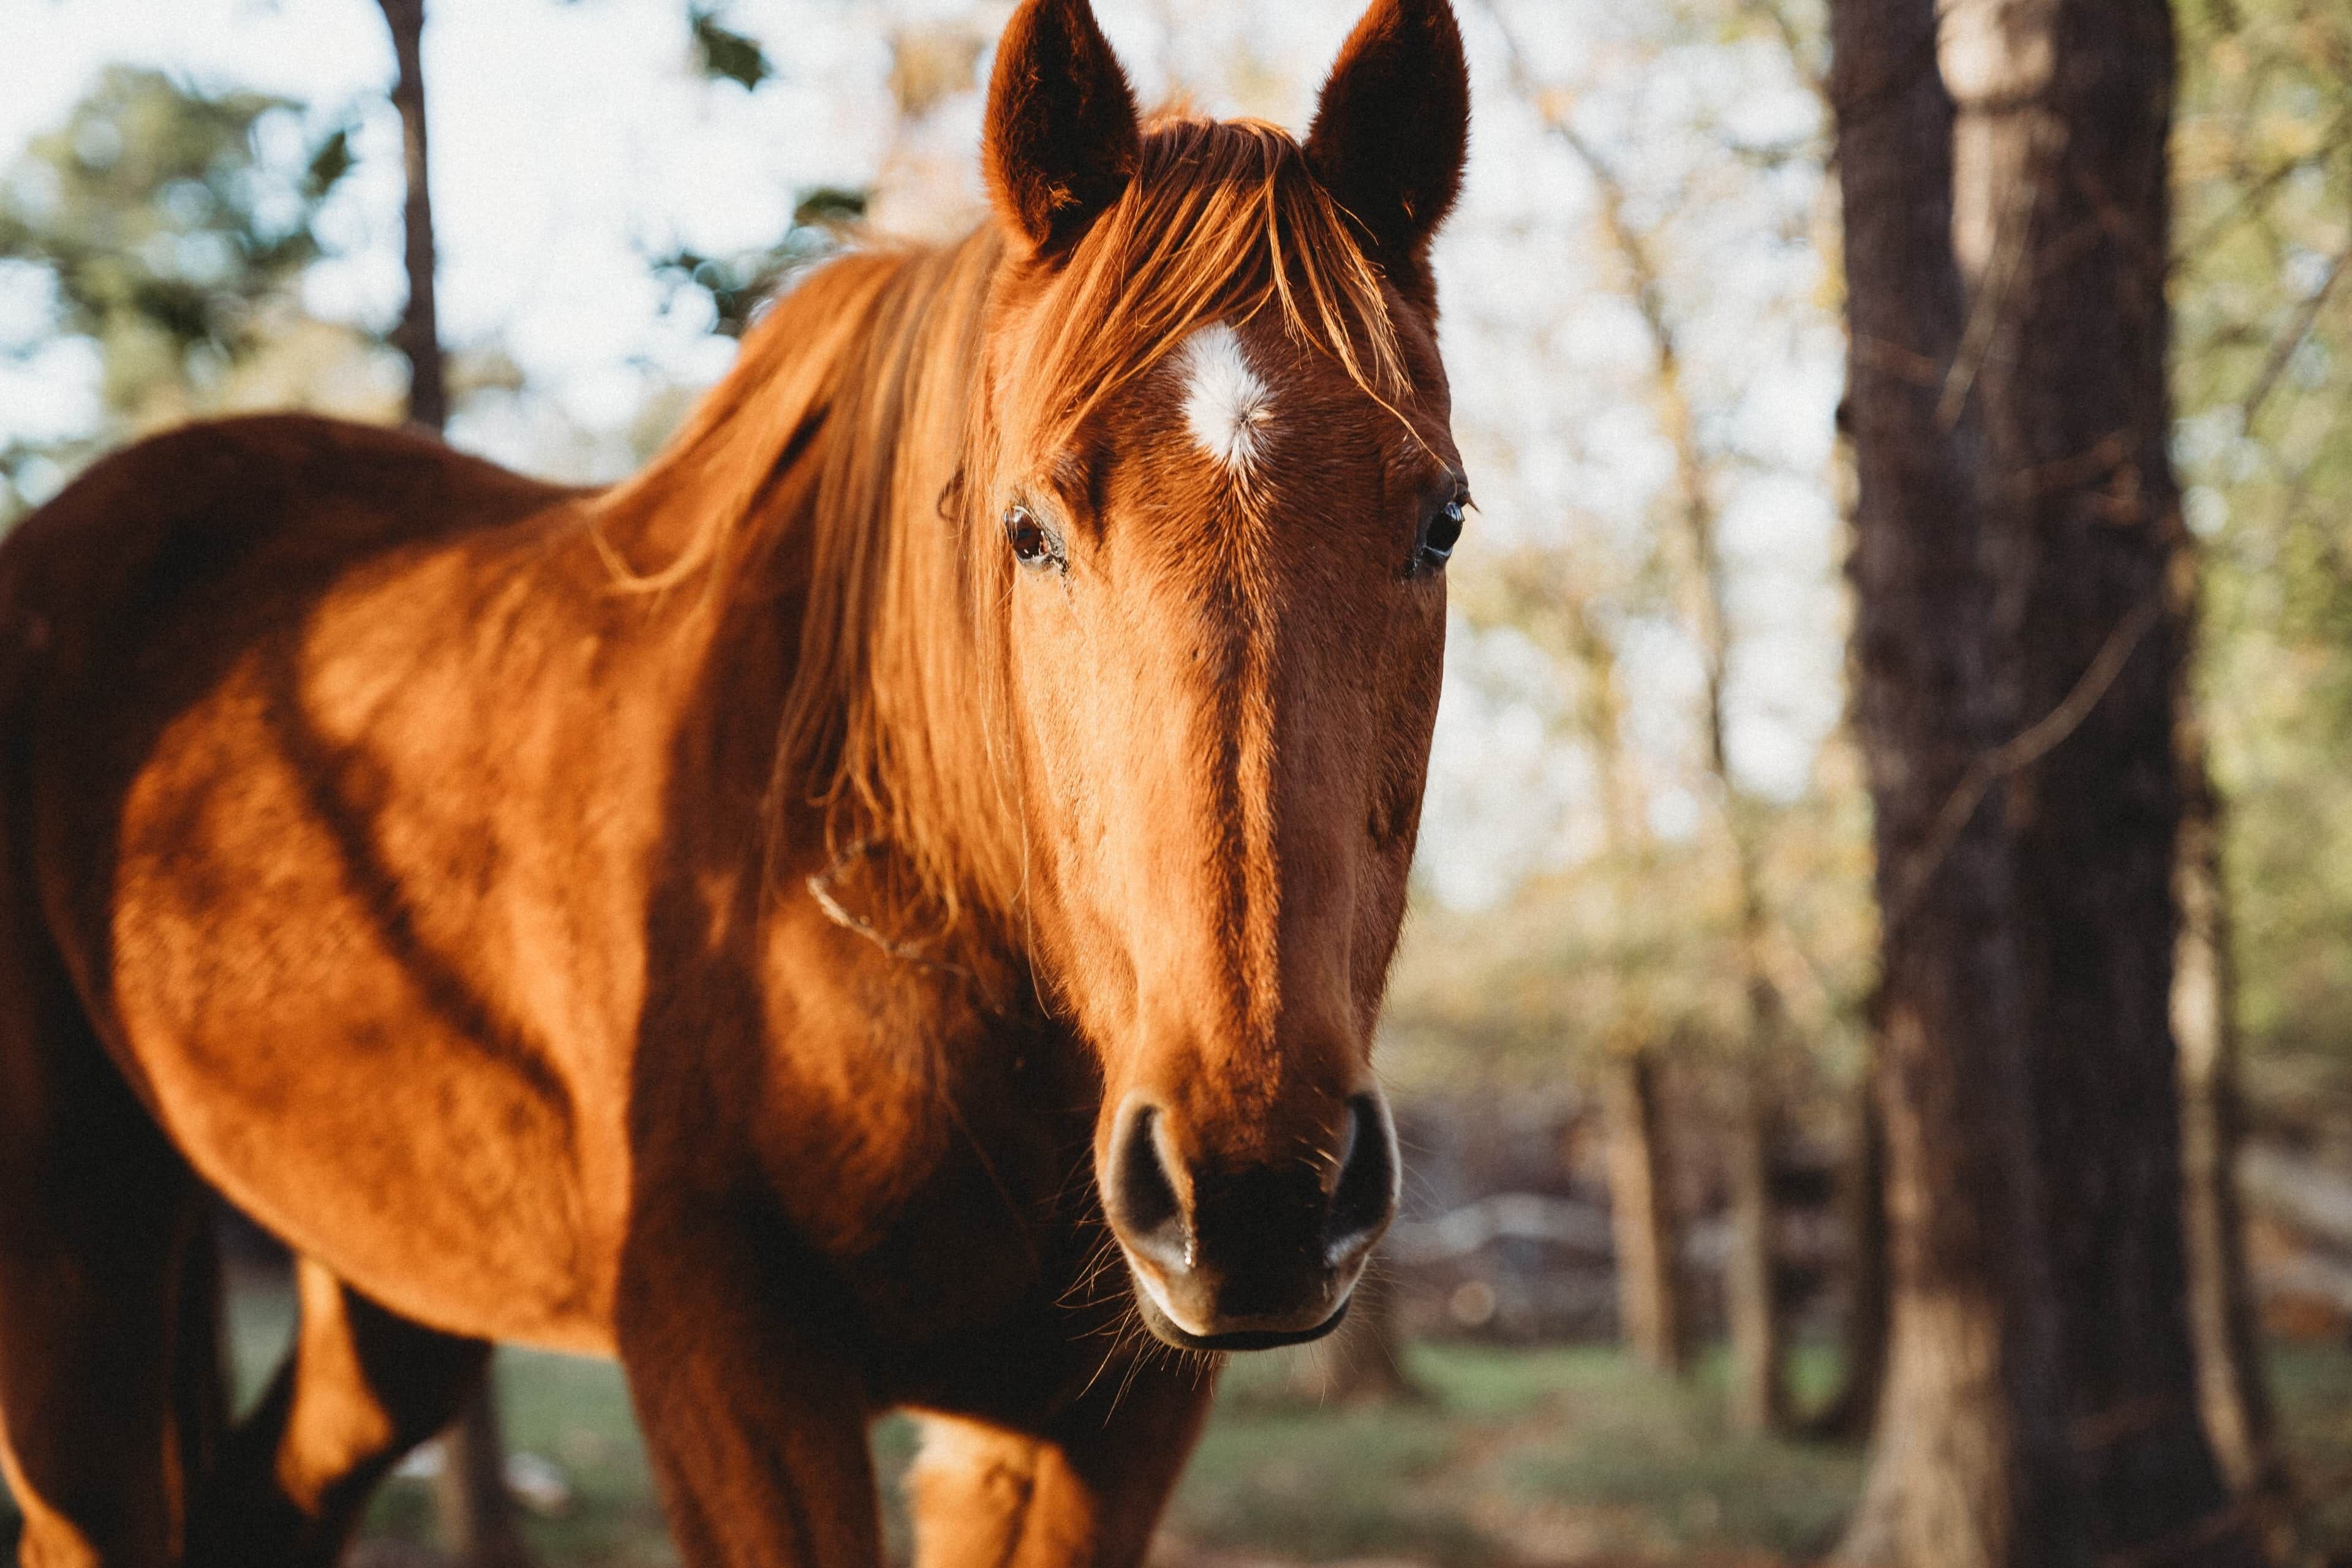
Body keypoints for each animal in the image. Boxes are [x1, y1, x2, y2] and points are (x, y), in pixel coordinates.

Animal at [0, 0, 1469, 1561]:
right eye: (1028, 529)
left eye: (1441, 519)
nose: (1253, 1187)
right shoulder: (729, 1366)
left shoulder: (1091, 1419)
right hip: (70, 1265)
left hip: (386, 1284)